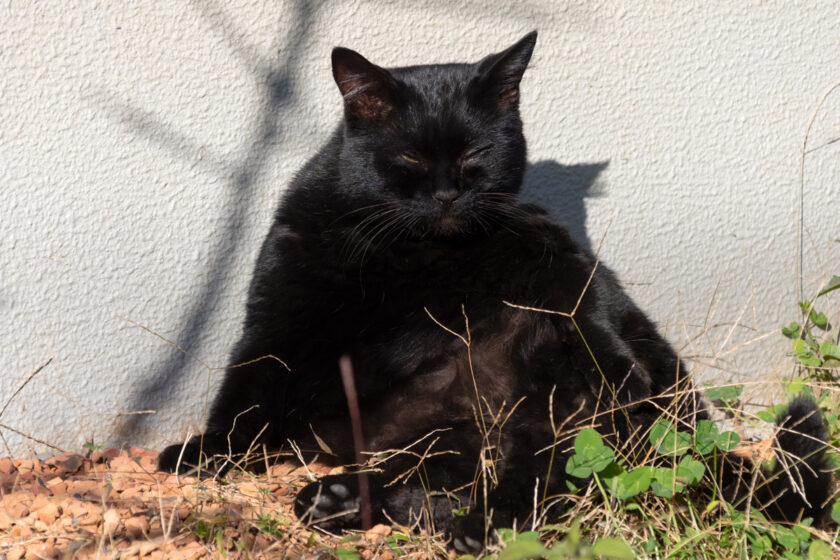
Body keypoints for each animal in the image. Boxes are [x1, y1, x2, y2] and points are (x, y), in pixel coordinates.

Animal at [159, 32, 832, 548]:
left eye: (477, 153)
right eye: (409, 158)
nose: (446, 195)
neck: (416, 257)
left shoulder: (552, 249)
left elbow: (587, 306)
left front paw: (620, 373)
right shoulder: (281, 304)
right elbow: (247, 384)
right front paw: (204, 455)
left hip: (547, 402)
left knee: (545, 479)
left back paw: (469, 525)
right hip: (443, 437)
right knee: (445, 487)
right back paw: (345, 500)